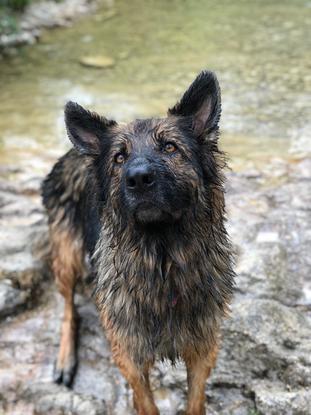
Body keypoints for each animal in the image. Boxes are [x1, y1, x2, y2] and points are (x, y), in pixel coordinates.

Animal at [42, 71, 235, 415]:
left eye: (170, 147)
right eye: (120, 157)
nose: (139, 178)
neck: (163, 263)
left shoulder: (203, 348)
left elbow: (195, 400)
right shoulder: (129, 356)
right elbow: (146, 403)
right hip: (67, 252)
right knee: (67, 307)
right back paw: (65, 359)